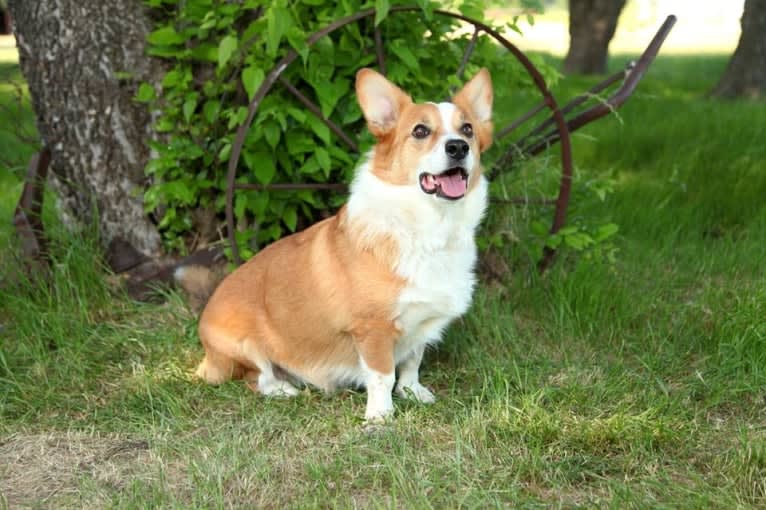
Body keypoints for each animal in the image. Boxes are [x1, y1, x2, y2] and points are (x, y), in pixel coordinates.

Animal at [189, 65, 496, 420]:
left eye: (467, 129)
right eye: (420, 131)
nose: (458, 147)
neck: (431, 227)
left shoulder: (421, 322)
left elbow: (412, 362)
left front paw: (412, 392)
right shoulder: (372, 329)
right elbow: (382, 375)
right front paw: (380, 416)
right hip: (243, 346)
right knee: (258, 376)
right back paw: (282, 388)